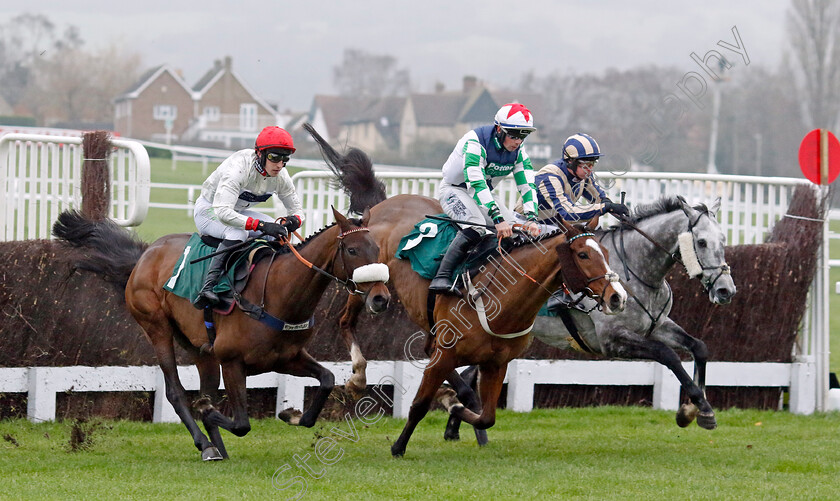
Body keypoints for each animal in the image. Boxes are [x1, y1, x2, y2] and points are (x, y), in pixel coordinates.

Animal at [54, 207, 388, 460]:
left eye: (377, 248)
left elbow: (327, 381)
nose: (380, 298)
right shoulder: (232, 361)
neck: (279, 292)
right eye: (353, 249)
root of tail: (145, 254)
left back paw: (218, 448)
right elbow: (240, 423)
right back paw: (205, 444)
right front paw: (207, 412)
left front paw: (291, 414)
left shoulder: (287, 358)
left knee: (204, 384)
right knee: (175, 392)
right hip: (157, 327)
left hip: (202, 350)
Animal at [446, 195, 736, 442]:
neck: (637, 271)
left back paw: (457, 426)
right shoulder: (612, 340)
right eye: (702, 242)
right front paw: (698, 408)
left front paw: (696, 409)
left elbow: (699, 347)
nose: (726, 290)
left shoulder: (657, 325)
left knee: (471, 372)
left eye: (723, 239)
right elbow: (669, 355)